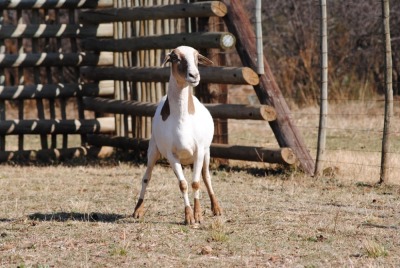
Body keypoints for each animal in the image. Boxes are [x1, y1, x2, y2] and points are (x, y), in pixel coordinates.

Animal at [134, 46, 222, 224]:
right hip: (153, 150)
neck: (182, 119)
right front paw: (189, 216)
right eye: (175, 58)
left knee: (206, 176)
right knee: (147, 177)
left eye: (197, 57)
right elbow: (183, 184)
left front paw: (198, 215)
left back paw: (216, 208)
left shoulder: (199, 151)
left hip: (207, 153)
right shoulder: (171, 154)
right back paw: (137, 210)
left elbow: (196, 183)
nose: (194, 76)